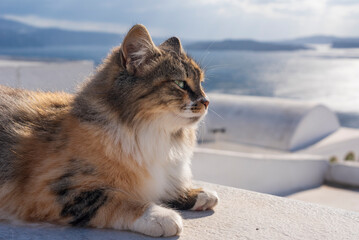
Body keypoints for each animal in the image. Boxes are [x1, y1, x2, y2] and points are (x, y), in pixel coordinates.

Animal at [0, 23, 219, 237]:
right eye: (180, 83)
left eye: (201, 83)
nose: (206, 101)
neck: (153, 135)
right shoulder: (53, 189)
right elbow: (117, 199)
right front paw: (160, 216)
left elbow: (165, 188)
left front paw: (197, 194)